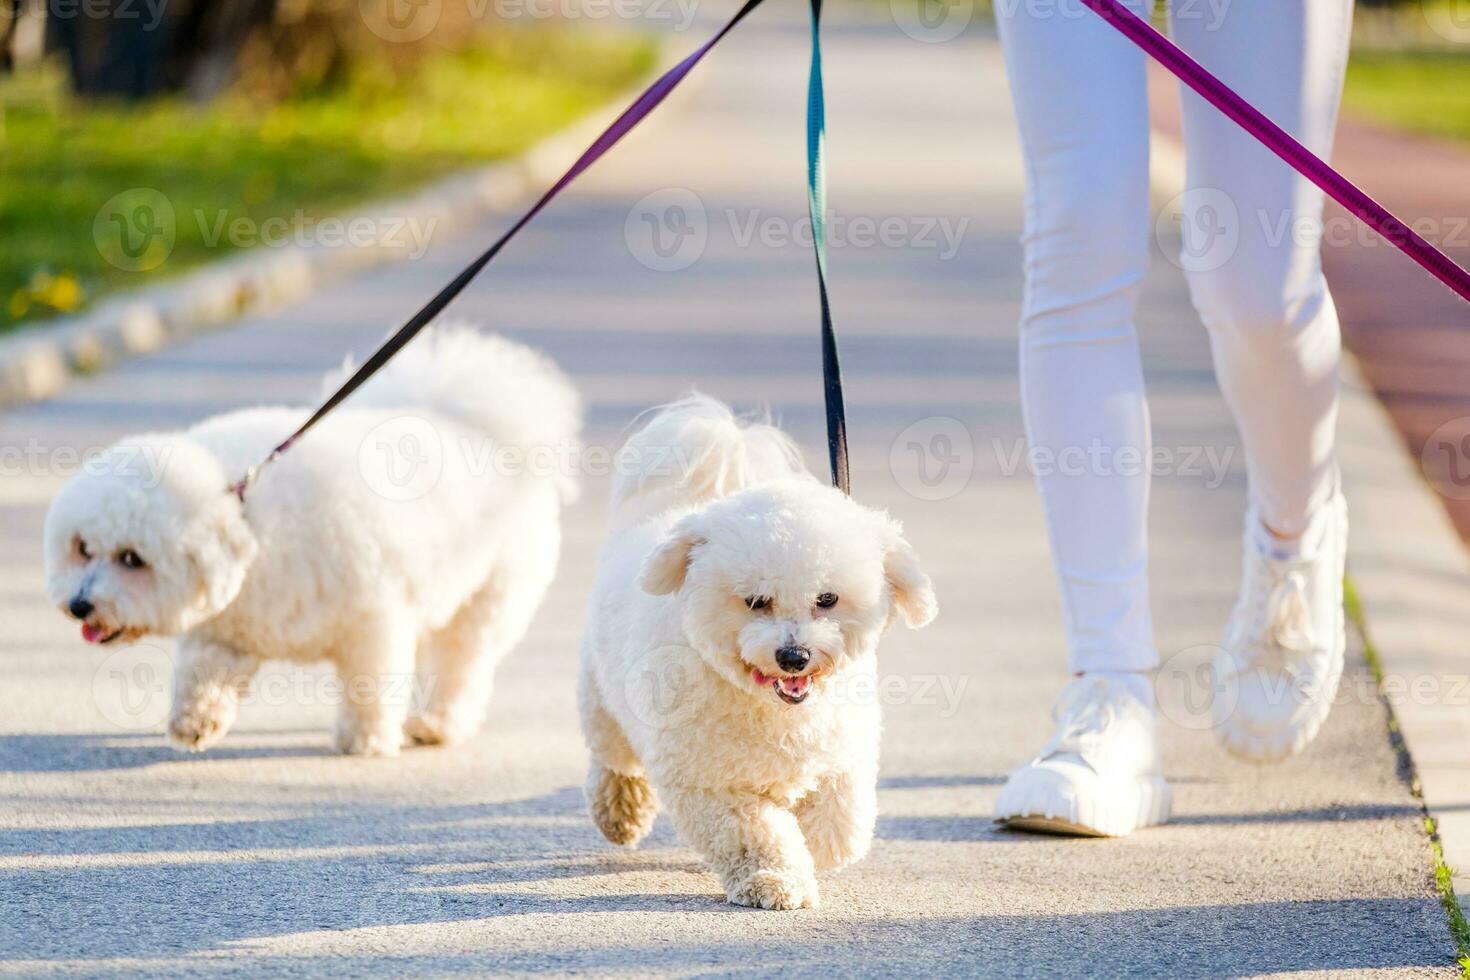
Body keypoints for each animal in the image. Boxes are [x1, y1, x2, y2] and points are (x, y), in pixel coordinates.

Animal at [41, 326, 579, 758]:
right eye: (83, 548)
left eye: (132, 558)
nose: (80, 604)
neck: (249, 516)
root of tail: (480, 427)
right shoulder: (227, 630)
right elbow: (201, 673)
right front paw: (195, 722)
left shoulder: (374, 621)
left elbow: (370, 686)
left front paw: (364, 740)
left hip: (484, 601)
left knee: (460, 664)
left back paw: (435, 723)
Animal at [579, 396, 934, 910]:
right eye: (754, 601)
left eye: (827, 598)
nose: (794, 656)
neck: (772, 709)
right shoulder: (712, 782)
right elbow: (755, 834)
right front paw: (775, 880)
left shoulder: (844, 752)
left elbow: (841, 825)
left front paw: (819, 847)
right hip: (604, 702)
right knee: (614, 758)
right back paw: (621, 810)